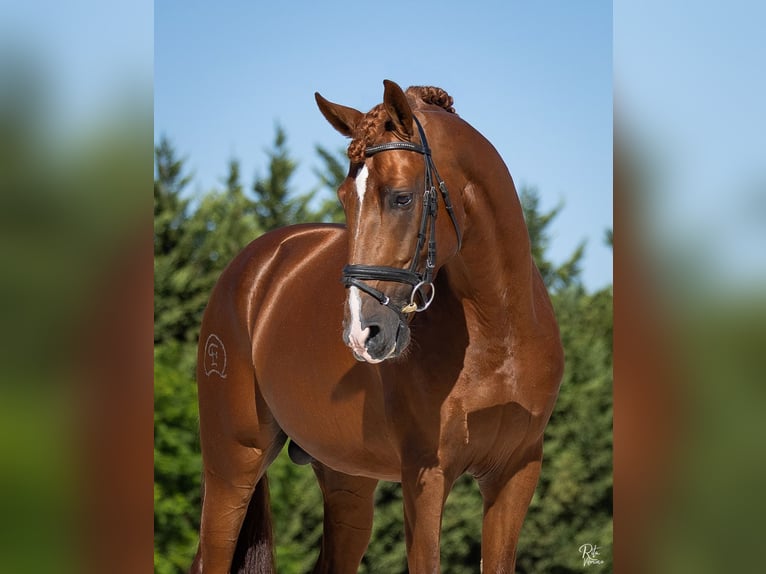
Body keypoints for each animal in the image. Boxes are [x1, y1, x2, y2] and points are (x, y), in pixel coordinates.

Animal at [190, 79, 564, 572]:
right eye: (345, 198)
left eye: (402, 197)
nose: (361, 333)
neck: (497, 329)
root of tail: (252, 268)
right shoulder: (426, 475)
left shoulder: (515, 473)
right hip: (232, 465)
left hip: (346, 480)